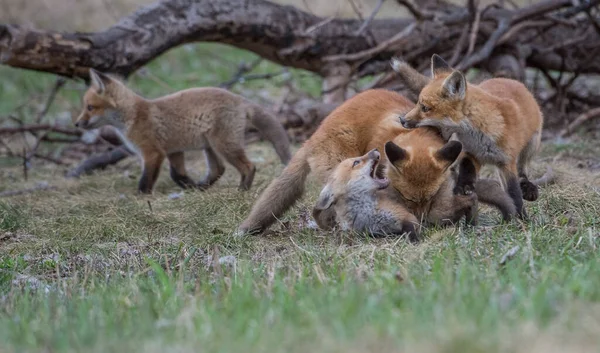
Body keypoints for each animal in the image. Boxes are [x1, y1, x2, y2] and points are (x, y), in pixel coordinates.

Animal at [74, 68, 290, 192]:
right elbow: (177, 175)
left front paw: (142, 196)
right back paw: (202, 187)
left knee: (248, 166)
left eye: (90, 107)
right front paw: (189, 186)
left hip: (223, 145)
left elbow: (146, 180)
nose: (76, 124)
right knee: (218, 169)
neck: (133, 116)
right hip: (210, 146)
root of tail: (240, 99)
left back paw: (242, 190)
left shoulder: (153, 152)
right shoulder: (173, 151)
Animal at [237, 88, 512, 236]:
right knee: (320, 207)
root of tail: (312, 137)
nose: (422, 220)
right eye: (408, 198)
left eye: (430, 197)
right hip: (338, 176)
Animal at [392, 54, 548, 217]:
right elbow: (467, 167)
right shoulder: (470, 152)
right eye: (417, 103)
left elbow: (513, 191)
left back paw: (527, 186)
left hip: (532, 144)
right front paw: (464, 187)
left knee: (523, 169)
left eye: (424, 108)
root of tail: (512, 80)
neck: (480, 136)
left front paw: (521, 217)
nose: (402, 120)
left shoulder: (507, 162)